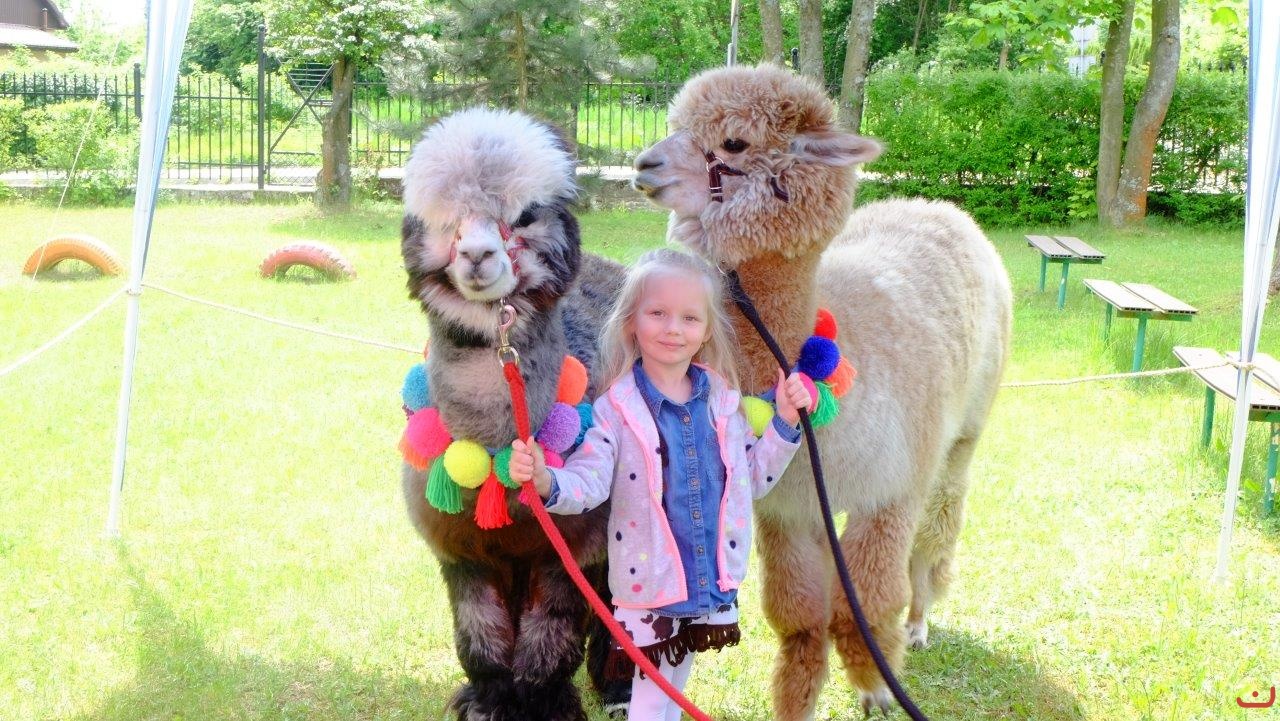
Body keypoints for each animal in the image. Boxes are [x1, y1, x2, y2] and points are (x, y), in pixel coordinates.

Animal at [399, 107, 627, 721]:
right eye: (445, 219)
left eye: (524, 216)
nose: (477, 255)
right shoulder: (463, 547)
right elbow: (478, 633)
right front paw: (488, 699)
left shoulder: (573, 543)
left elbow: (552, 632)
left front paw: (545, 702)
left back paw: (618, 690)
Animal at [631, 64, 1013, 717]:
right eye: (674, 123)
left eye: (734, 142)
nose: (645, 163)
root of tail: (942, 209)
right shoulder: (788, 510)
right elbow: (801, 619)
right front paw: (798, 701)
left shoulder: (889, 489)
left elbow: (869, 604)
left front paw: (879, 687)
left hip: (962, 432)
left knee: (938, 526)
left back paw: (918, 623)